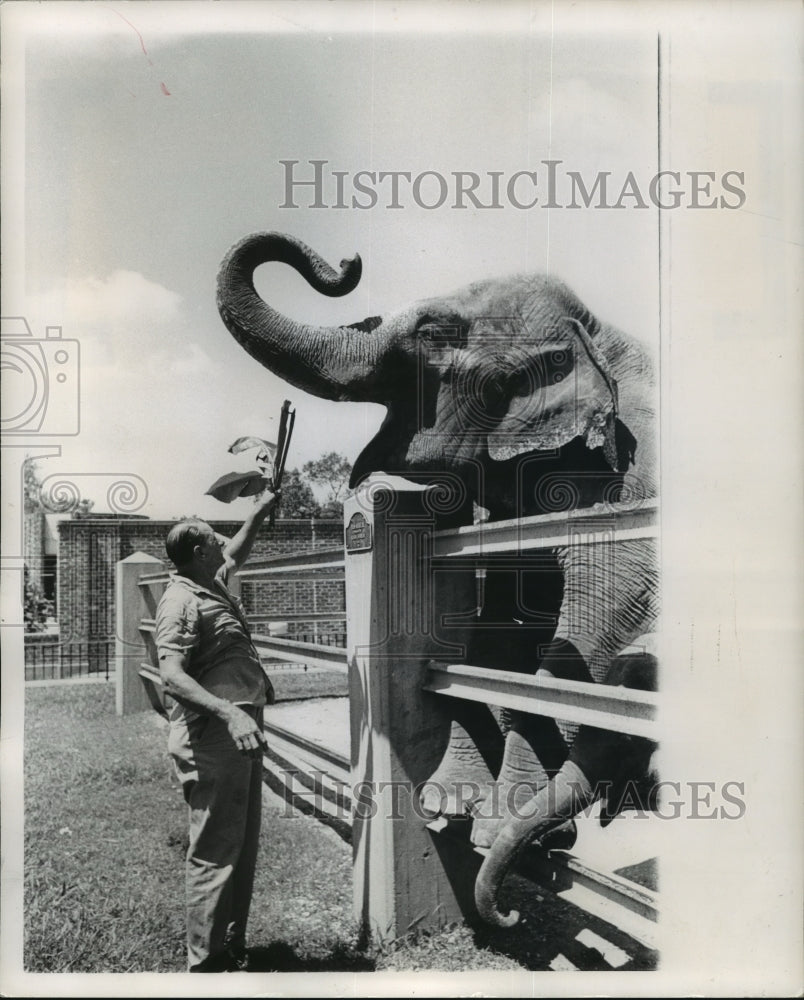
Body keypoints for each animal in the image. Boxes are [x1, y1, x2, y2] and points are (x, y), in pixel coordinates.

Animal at [215, 229, 660, 928]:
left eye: (430, 335)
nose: (346, 263)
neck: (596, 330)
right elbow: (497, 630)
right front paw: (453, 808)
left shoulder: (631, 477)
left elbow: (604, 607)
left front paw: (496, 828)